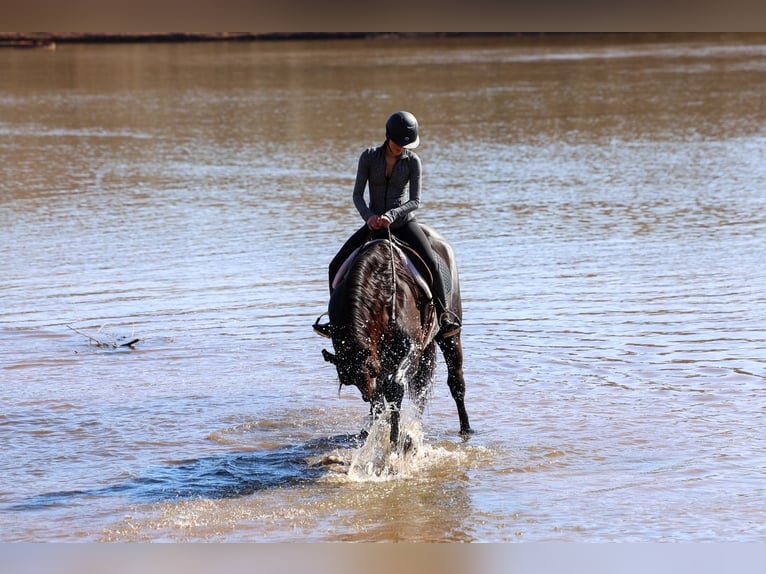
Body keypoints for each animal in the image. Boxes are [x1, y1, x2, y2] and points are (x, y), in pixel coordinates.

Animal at [319, 224, 471, 445]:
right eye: (349, 381)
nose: (367, 396)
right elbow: (384, 392)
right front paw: (377, 429)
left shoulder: (412, 349)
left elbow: (394, 388)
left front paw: (394, 437)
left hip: (449, 336)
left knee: (455, 382)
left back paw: (466, 429)